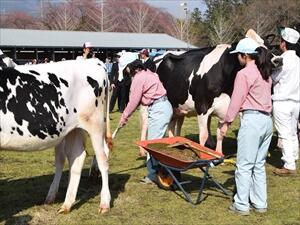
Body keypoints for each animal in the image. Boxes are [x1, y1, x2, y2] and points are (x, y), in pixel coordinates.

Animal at [0, 59, 112, 214]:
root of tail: (93, 61)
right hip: (73, 130)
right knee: (77, 157)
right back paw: (66, 204)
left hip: (95, 125)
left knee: (103, 159)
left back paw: (104, 203)